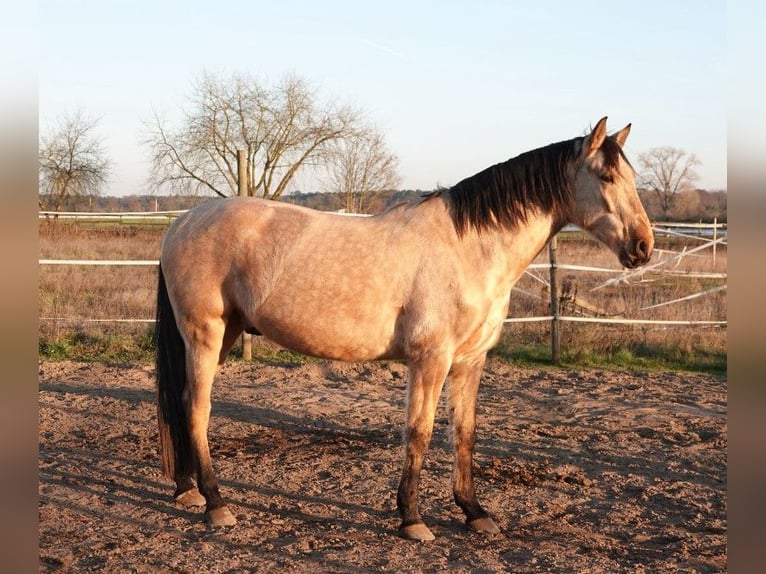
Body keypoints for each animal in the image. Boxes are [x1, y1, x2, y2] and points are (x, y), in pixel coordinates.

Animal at [155, 117, 653, 541]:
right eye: (606, 178)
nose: (643, 246)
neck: (468, 247)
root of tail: (182, 223)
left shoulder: (470, 361)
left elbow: (464, 433)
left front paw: (474, 512)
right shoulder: (430, 360)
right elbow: (419, 432)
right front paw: (412, 519)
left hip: (222, 336)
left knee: (183, 403)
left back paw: (188, 490)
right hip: (205, 335)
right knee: (197, 408)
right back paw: (216, 505)